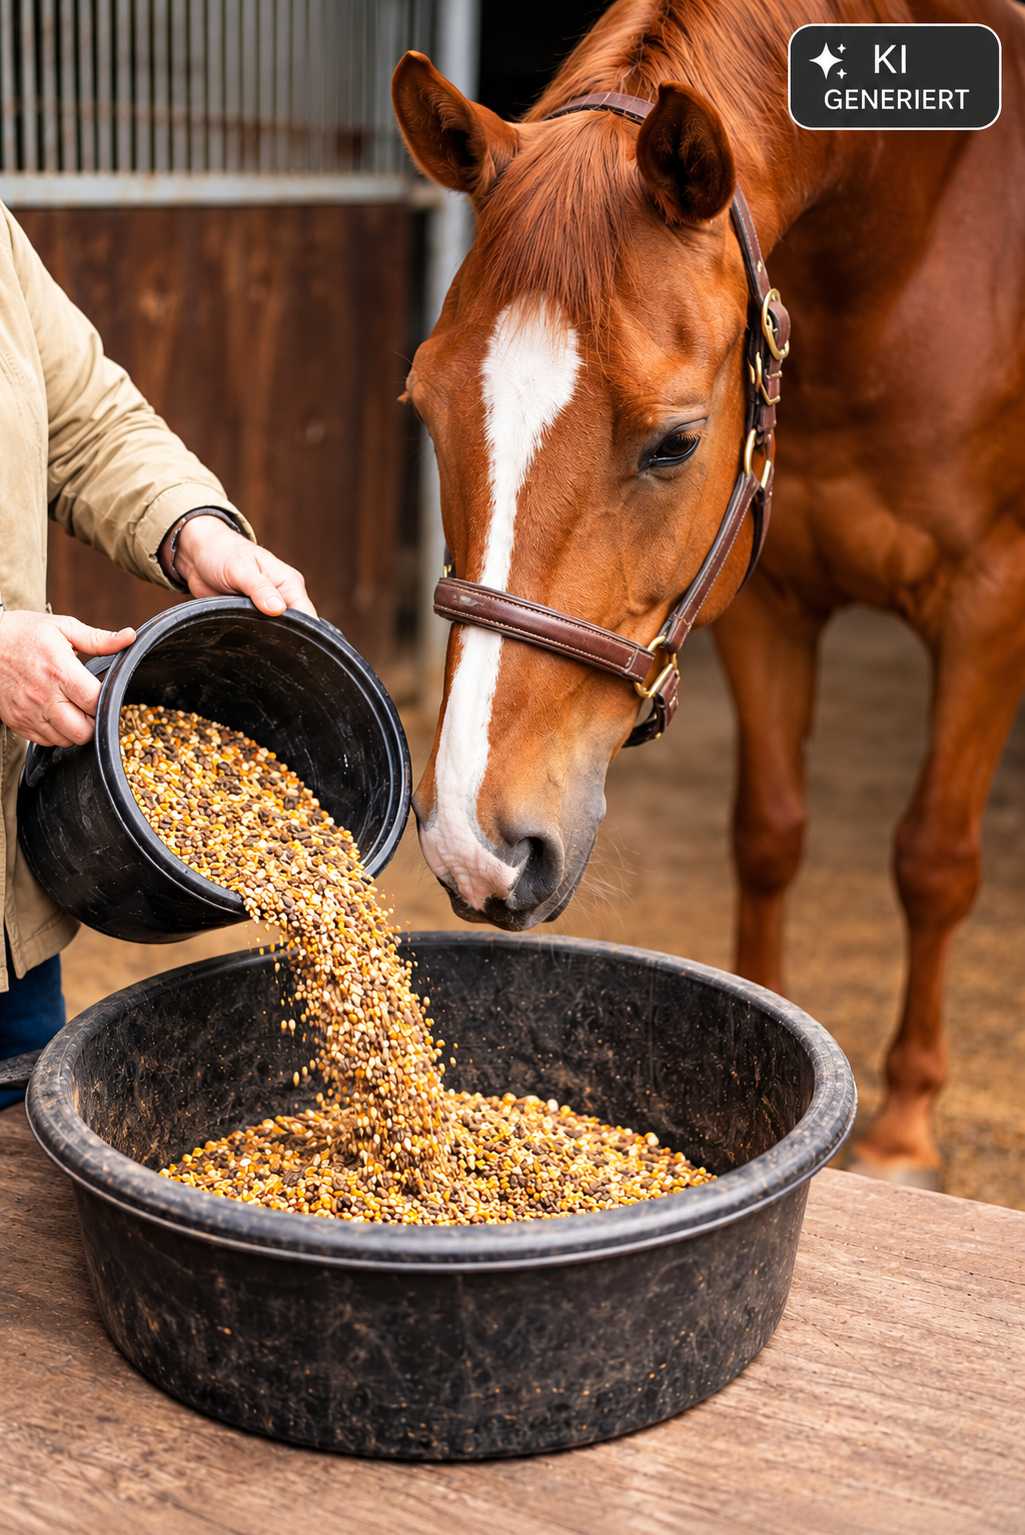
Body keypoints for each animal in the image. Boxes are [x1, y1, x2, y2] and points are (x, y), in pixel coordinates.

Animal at [392, 0, 1025, 1187]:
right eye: (421, 403)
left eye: (675, 442)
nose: (473, 844)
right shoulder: (764, 594)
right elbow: (766, 832)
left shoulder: (987, 602)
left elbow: (932, 857)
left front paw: (904, 1129)